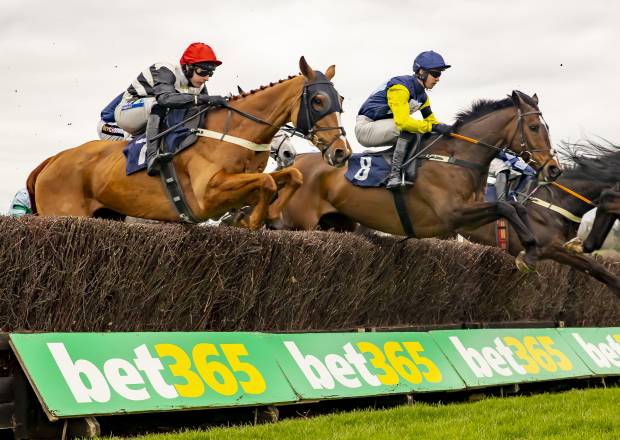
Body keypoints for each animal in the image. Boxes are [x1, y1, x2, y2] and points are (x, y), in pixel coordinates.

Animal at [26, 56, 352, 229]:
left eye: (340, 99)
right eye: (318, 100)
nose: (341, 152)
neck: (234, 133)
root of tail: (50, 161)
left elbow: (291, 176)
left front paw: (260, 214)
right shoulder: (208, 193)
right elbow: (269, 182)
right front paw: (252, 220)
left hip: (109, 215)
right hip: (63, 214)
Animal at [278, 91, 560, 270]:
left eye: (547, 127)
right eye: (534, 127)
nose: (554, 169)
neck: (456, 158)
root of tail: (295, 163)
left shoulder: (466, 221)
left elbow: (515, 207)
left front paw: (533, 247)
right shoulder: (453, 214)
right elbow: (505, 206)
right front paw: (530, 251)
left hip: (338, 223)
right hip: (300, 224)